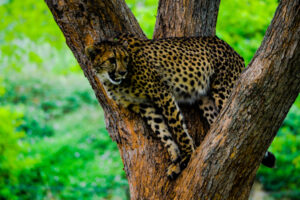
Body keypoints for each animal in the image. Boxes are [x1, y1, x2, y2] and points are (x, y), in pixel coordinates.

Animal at [84, 35, 253, 179]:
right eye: (112, 59)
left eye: (125, 59)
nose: (122, 72)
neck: (112, 81)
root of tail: (232, 49)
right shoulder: (143, 106)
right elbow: (161, 131)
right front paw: (176, 158)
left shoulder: (162, 93)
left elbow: (177, 128)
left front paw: (187, 155)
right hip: (205, 100)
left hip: (224, 89)